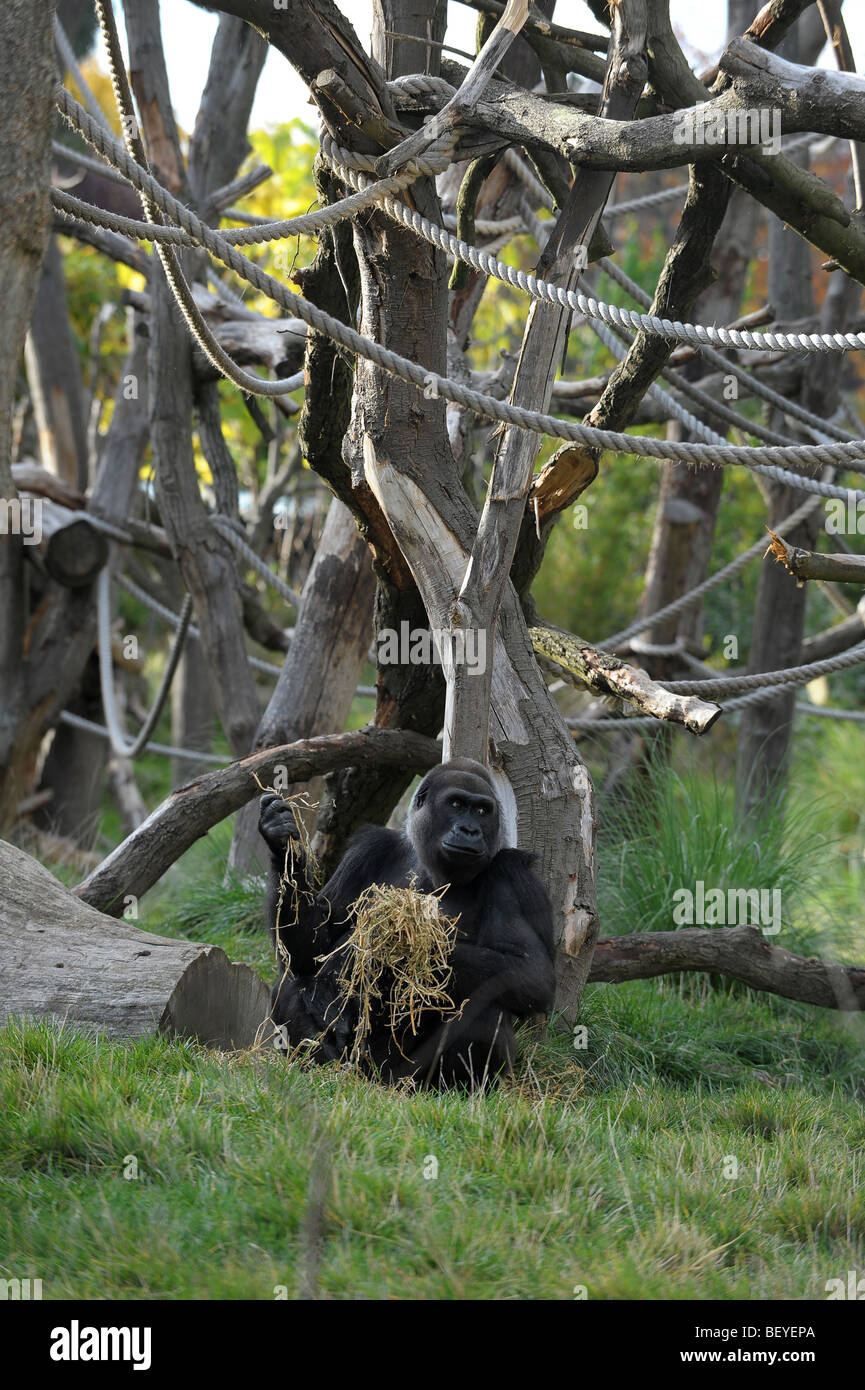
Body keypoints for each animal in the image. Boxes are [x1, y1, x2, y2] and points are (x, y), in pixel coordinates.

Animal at [258, 756, 556, 1089]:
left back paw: (453, 1090)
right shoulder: (369, 849)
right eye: (456, 804)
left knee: (486, 1005)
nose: (470, 829)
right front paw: (280, 840)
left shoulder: (512, 873)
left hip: (403, 1076)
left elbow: (531, 973)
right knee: (290, 985)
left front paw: (378, 943)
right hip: (356, 1062)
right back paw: (326, 1071)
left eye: (482, 811)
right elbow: (309, 953)